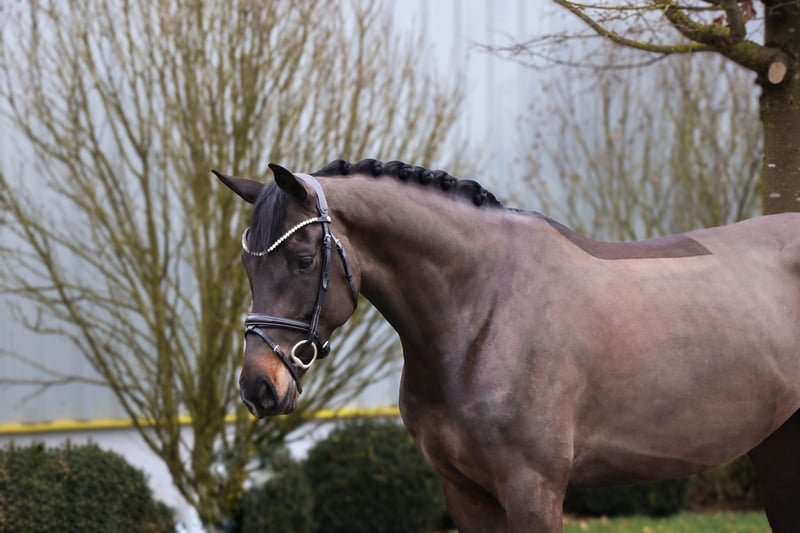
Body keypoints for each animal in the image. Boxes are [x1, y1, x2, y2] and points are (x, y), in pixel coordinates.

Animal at [214, 159, 800, 532]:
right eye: (246, 264)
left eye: (303, 261)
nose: (259, 387)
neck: (482, 307)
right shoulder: (464, 491)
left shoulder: (532, 490)